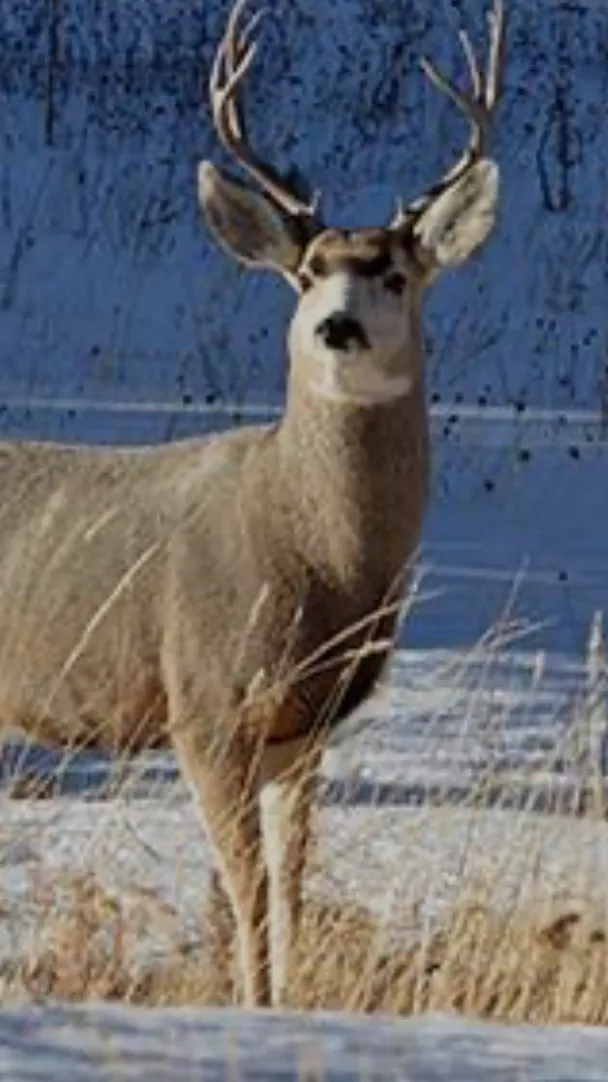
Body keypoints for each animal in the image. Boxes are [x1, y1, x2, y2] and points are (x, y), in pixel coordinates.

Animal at [0, 0, 505, 1006]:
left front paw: (292, 998)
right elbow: (244, 886)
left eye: (395, 274)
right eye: (307, 272)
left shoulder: (304, 728)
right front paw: (254, 1005)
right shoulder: (202, 700)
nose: (336, 326)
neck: (316, 563)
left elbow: (292, 882)